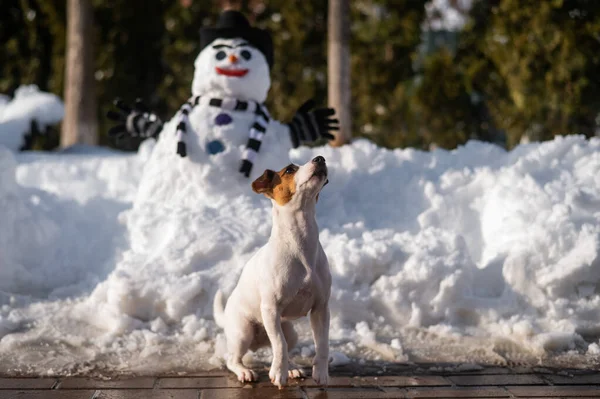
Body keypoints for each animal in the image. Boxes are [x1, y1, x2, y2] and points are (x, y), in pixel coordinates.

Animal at [212, 155, 332, 388]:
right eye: (289, 170)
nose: (320, 158)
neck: (300, 242)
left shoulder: (321, 308)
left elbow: (322, 344)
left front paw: (321, 373)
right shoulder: (271, 308)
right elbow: (280, 345)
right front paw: (278, 373)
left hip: (290, 331)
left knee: (281, 347)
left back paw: (292, 367)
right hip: (243, 332)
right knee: (235, 359)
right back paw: (245, 372)